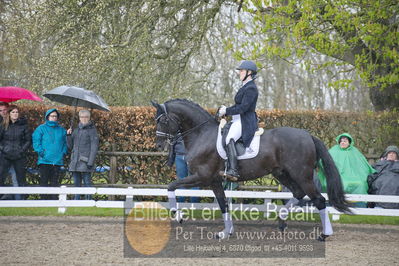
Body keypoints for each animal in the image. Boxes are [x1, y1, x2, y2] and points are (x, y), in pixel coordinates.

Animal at [152, 98, 350, 240]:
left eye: (163, 121)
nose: (159, 145)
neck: (202, 135)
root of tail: (308, 135)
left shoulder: (202, 176)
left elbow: (171, 186)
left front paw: (178, 215)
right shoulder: (215, 181)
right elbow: (223, 204)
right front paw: (226, 232)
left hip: (302, 175)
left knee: (318, 200)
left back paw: (324, 234)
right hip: (282, 173)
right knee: (299, 193)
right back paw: (281, 220)